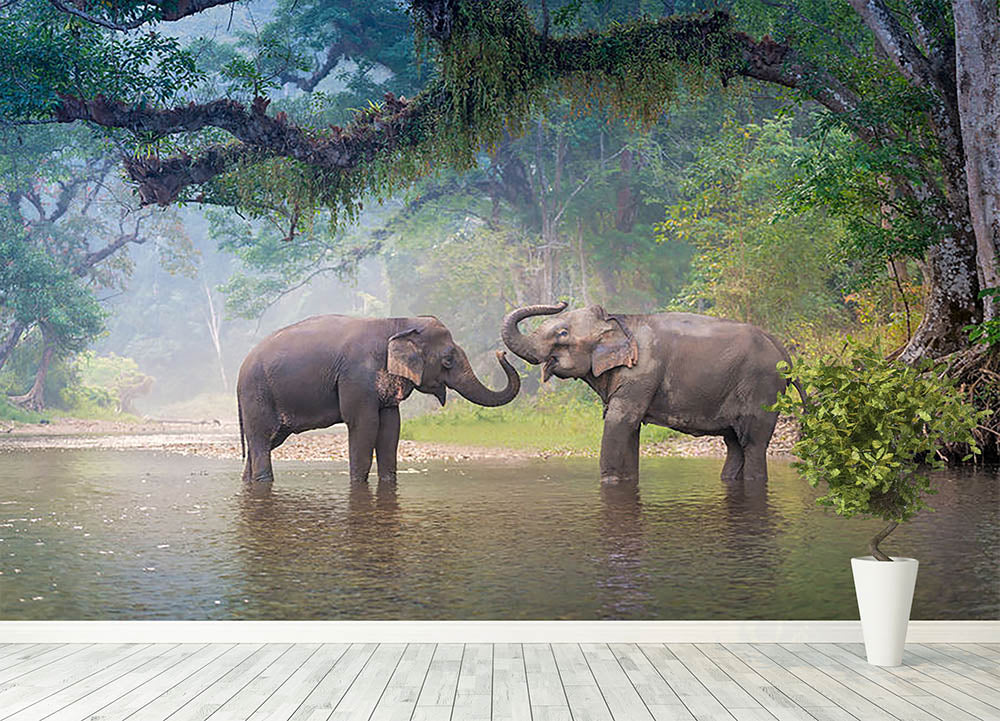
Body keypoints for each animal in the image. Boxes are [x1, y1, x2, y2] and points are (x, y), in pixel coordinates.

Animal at [237, 314, 520, 484]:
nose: (501, 352)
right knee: (262, 439)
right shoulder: (357, 377)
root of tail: (241, 368)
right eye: (448, 360)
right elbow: (364, 425)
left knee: (265, 442)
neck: (397, 324)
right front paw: (358, 484)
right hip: (257, 394)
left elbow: (391, 427)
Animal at [501, 302, 803, 484]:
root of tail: (784, 352)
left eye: (562, 333)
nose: (562, 301)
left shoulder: (642, 371)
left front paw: (608, 483)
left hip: (762, 388)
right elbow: (629, 428)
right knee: (734, 444)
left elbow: (620, 422)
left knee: (752, 443)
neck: (619, 321)